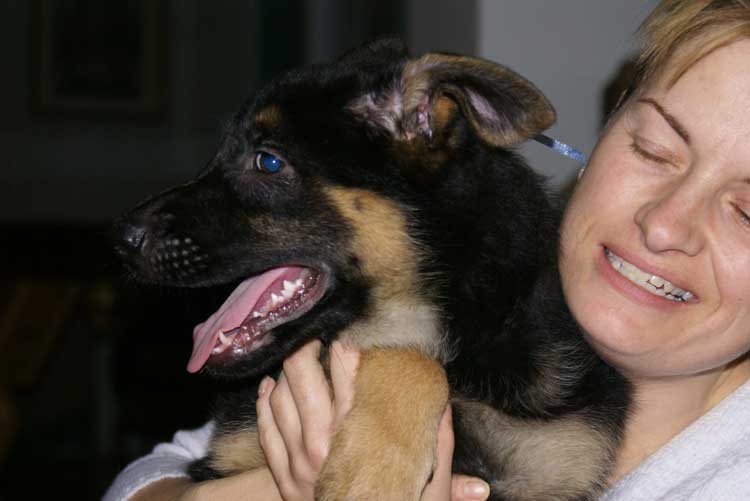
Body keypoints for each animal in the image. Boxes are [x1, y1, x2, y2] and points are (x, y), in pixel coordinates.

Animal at [111, 40, 628, 500]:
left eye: (268, 161)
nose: (118, 240)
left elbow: (407, 356)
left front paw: (372, 469)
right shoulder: (227, 457)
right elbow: (409, 357)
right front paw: (375, 468)